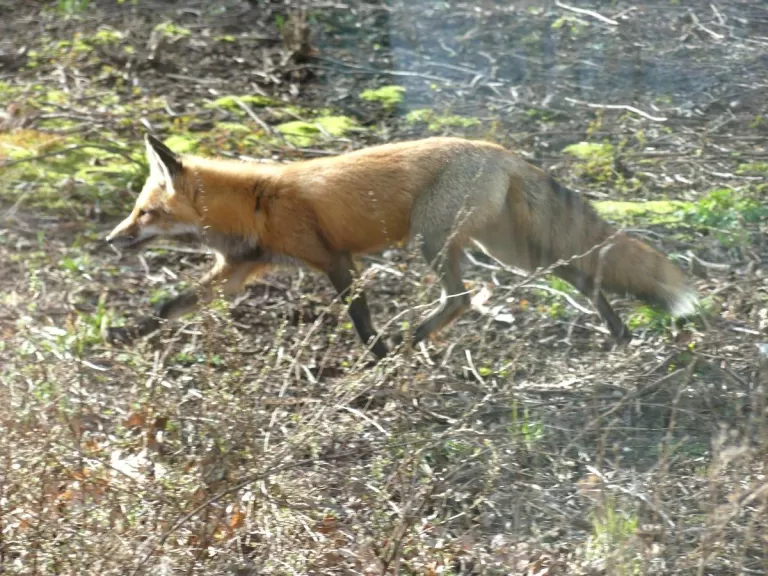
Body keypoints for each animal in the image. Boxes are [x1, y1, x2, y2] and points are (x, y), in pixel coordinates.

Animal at [104, 134, 699, 359]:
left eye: (144, 213)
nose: (110, 239)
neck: (257, 202)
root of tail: (499, 150)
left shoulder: (335, 260)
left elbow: (361, 321)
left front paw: (377, 361)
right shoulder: (237, 271)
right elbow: (169, 306)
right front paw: (122, 336)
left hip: (435, 240)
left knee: (462, 297)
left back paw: (414, 338)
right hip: (503, 250)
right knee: (579, 270)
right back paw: (619, 332)